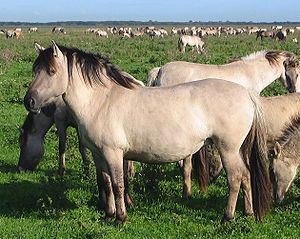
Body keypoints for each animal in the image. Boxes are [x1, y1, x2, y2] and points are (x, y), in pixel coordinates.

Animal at [24, 41, 270, 224]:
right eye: (35, 70)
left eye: (52, 71)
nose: (30, 101)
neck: (101, 101)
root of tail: (246, 93)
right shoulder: (98, 154)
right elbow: (105, 183)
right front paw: (108, 214)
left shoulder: (113, 153)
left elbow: (118, 184)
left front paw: (121, 218)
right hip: (236, 150)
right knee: (246, 175)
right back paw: (248, 213)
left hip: (227, 149)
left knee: (235, 178)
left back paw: (227, 217)